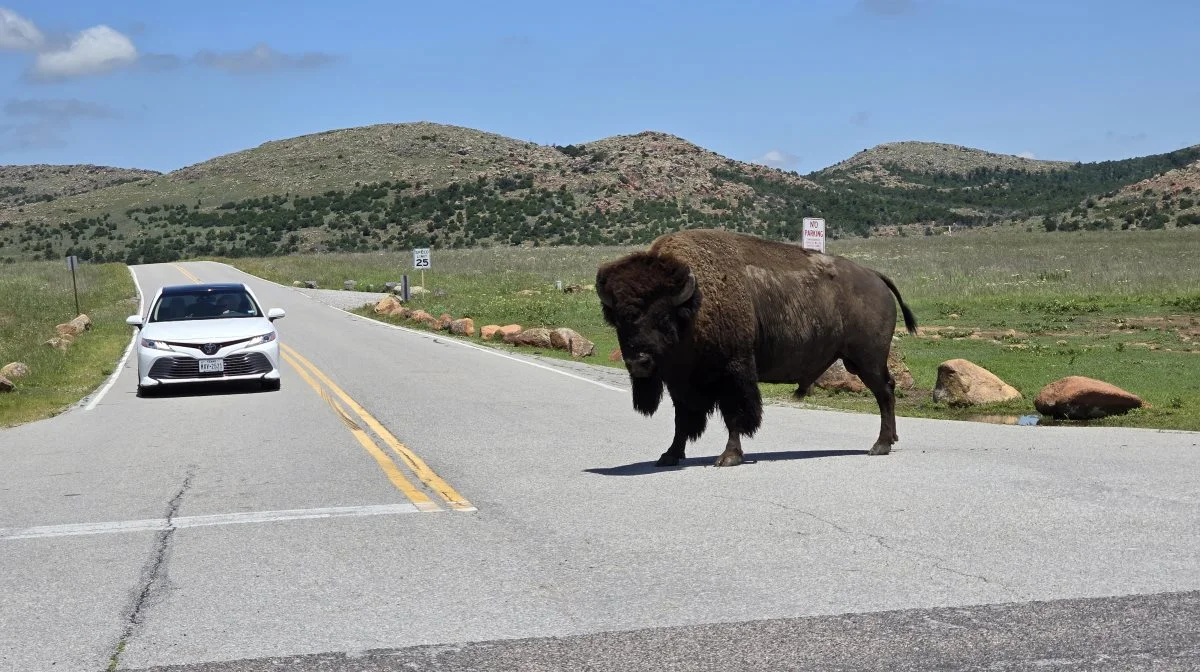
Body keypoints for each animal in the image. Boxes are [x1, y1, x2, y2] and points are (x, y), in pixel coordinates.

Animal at [597, 228, 916, 465]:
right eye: (619, 319)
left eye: (662, 317)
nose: (639, 361)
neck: (693, 303)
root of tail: (875, 276)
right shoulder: (680, 382)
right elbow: (682, 419)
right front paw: (669, 455)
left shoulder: (733, 373)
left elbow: (734, 415)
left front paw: (729, 457)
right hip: (862, 361)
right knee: (888, 391)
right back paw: (889, 441)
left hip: (867, 361)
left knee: (885, 394)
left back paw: (879, 446)